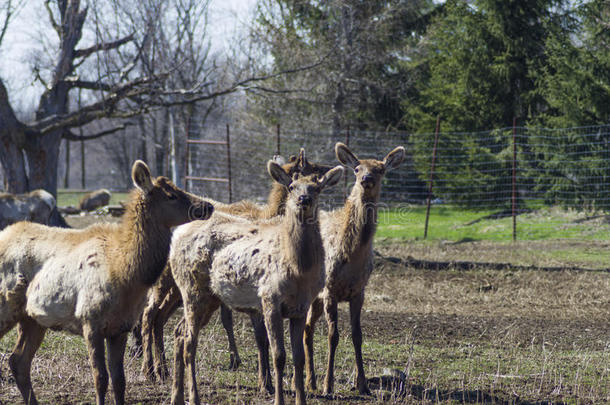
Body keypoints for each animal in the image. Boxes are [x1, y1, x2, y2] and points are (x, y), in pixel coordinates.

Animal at [0, 161, 214, 404]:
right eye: (171, 195)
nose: (208, 206)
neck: (127, 274)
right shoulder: (90, 321)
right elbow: (100, 378)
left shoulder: (120, 327)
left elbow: (119, 380)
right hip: (7, 307)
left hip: (32, 318)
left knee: (18, 361)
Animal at [169, 160, 344, 404]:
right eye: (292, 187)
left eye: (316, 188)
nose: (303, 199)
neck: (299, 270)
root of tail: (176, 236)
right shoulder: (270, 299)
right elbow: (279, 356)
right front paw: (278, 398)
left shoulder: (301, 307)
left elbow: (298, 358)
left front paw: (301, 399)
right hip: (192, 289)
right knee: (189, 343)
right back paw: (193, 397)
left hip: (209, 297)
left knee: (178, 332)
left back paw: (176, 396)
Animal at [300, 143, 404, 394]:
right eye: (357, 169)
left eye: (381, 169)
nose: (366, 178)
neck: (352, 256)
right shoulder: (330, 290)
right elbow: (333, 335)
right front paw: (328, 385)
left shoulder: (359, 291)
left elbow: (357, 336)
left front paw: (363, 384)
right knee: (305, 327)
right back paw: (310, 381)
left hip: (317, 299)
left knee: (308, 327)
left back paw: (311, 380)